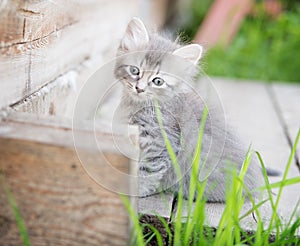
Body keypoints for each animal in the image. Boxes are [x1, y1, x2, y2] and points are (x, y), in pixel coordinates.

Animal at [113, 17, 264, 202]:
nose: (139, 88)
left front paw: (136, 192)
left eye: (157, 81)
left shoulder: (160, 143)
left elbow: (147, 172)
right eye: (135, 71)